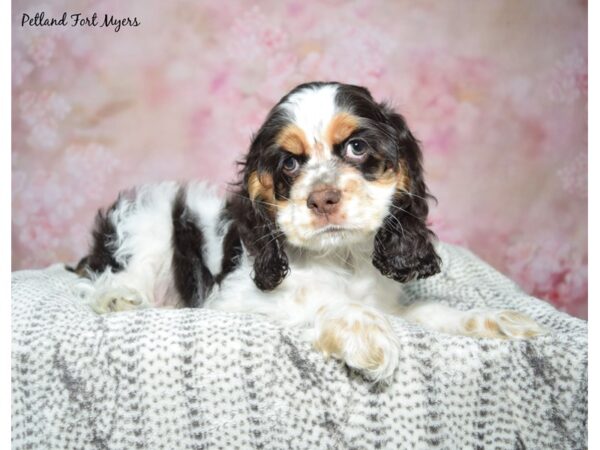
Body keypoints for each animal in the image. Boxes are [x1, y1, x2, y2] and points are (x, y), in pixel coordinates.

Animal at [75, 81, 544, 384]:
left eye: (357, 147)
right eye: (289, 162)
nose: (321, 199)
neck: (342, 258)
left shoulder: (389, 300)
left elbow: (431, 311)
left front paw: (496, 320)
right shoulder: (234, 301)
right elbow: (316, 301)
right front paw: (363, 331)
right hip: (149, 220)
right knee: (113, 273)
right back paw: (118, 297)